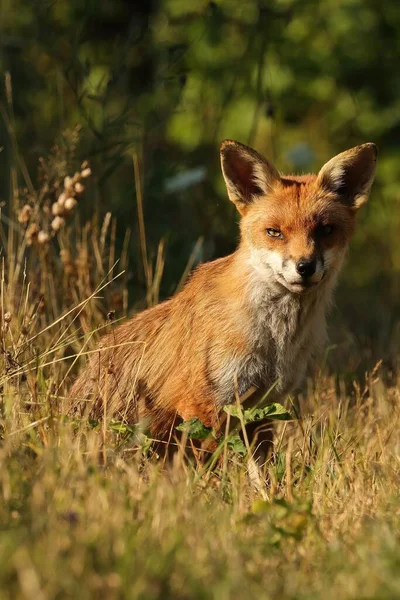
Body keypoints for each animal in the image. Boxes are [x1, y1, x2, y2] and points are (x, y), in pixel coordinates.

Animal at [67, 142, 376, 454]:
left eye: (325, 230)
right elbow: (211, 460)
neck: (276, 340)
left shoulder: (264, 407)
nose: (305, 266)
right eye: (274, 232)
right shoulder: (205, 402)